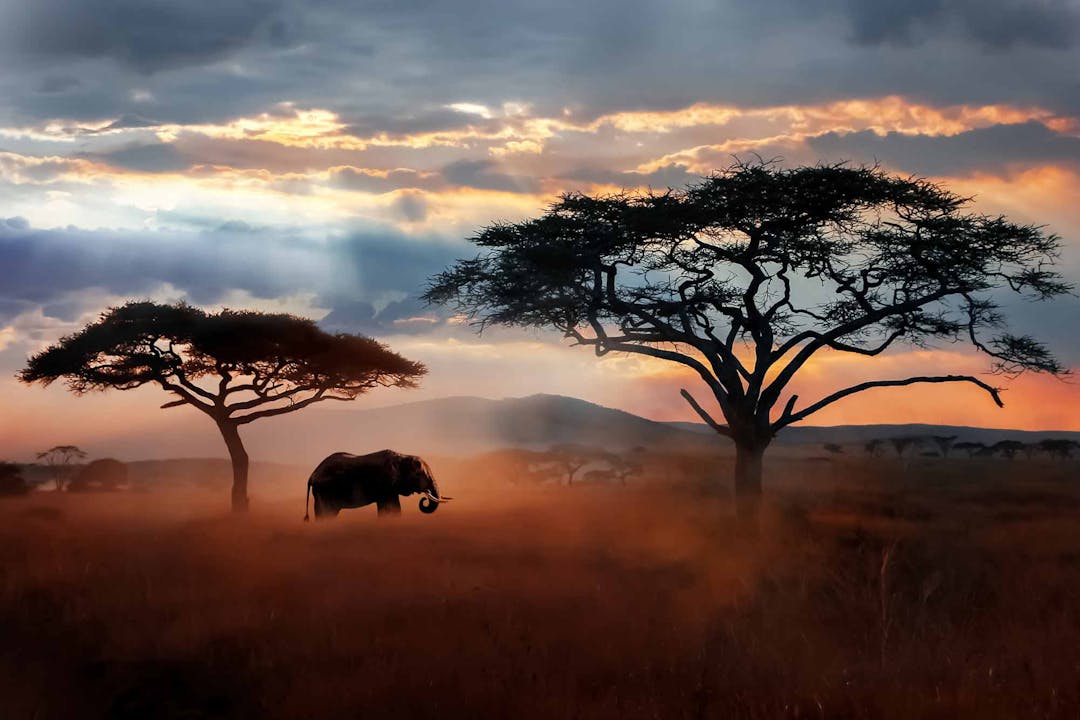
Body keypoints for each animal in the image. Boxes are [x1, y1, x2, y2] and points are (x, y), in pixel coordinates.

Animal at [302, 446, 449, 520]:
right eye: (419, 474)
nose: (424, 498)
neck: (402, 456)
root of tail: (311, 476)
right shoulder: (386, 485)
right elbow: (391, 507)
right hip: (325, 492)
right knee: (326, 513)